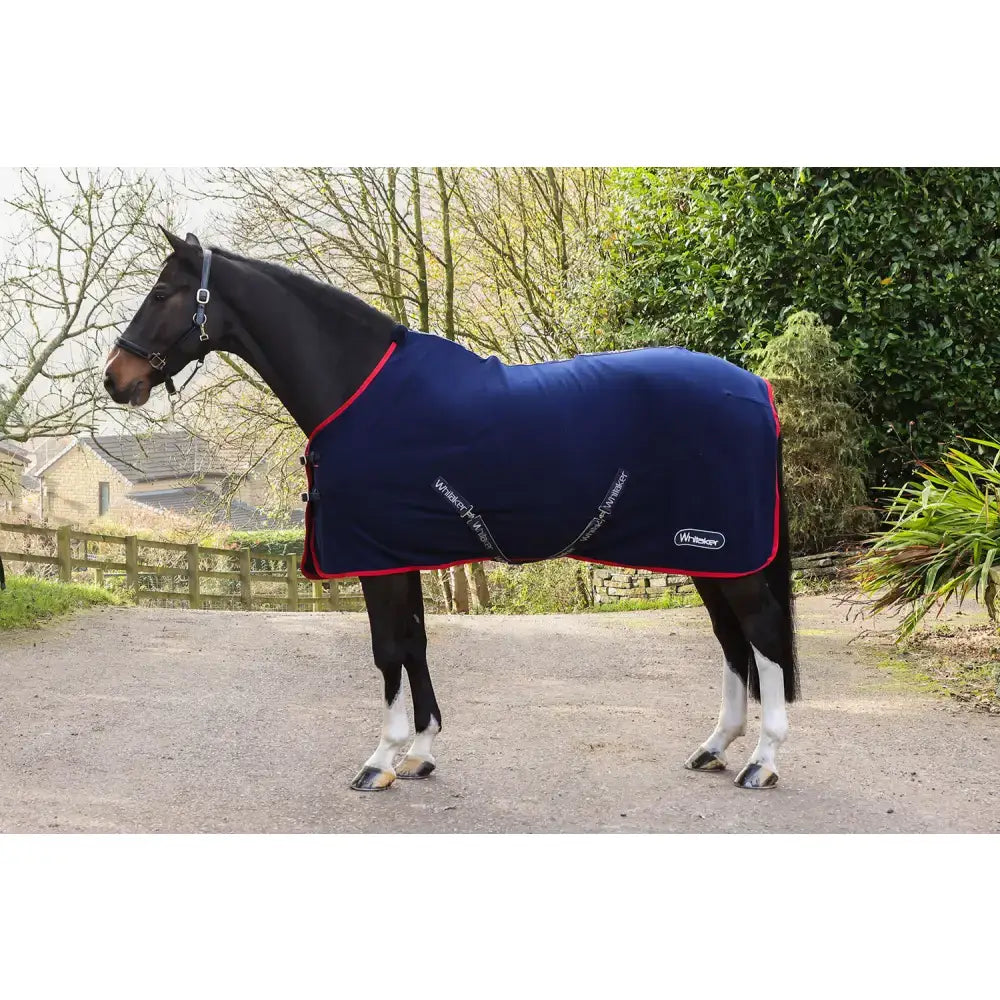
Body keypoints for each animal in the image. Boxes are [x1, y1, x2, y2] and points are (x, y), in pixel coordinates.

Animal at [103, 229, 797, 793]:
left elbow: (389, 649)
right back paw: (715, 747)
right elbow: (414, 644)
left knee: (761, 635)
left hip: (724, 551)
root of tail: (758, 390)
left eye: (162, 292)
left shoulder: (376, 558)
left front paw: (380, 761)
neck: (356, 388)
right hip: (706, 554)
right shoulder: (398, 552)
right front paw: (421, 752)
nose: (115, 377)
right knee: (732, 641)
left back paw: (763, 762)